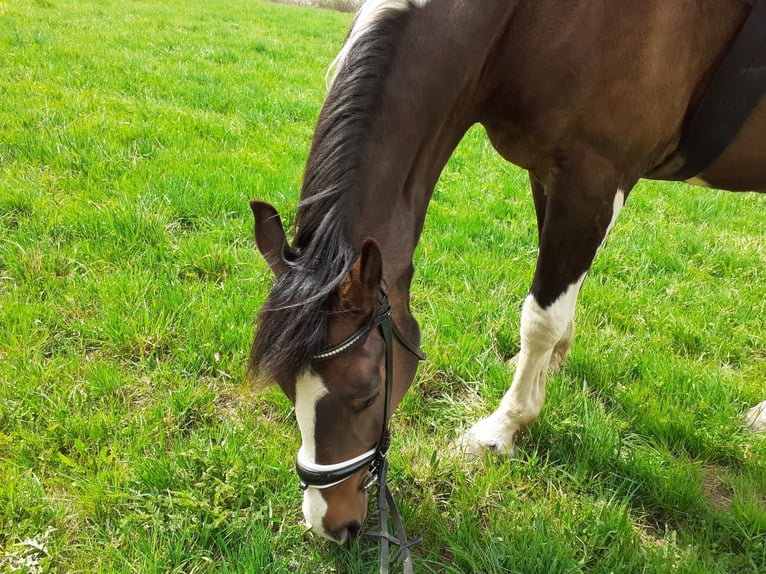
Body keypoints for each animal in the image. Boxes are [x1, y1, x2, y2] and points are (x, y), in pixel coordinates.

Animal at [249, 0, 765, 550]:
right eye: (285, 386)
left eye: (365, 395)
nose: (329, 525)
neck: (521, 25)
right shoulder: (549, 174)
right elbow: (556, 304)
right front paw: (551, 363)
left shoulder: (592, 178)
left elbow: (540, 316)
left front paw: (503, 428)